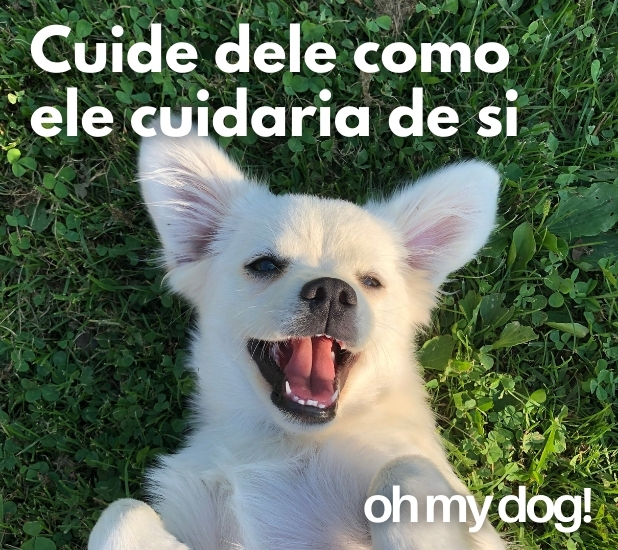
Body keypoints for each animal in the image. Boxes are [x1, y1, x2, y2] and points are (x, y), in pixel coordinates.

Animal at [88, 123, 505, 550]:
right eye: (264, 265)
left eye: (371, 281)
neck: (287, 442)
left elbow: (404, 471)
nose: (331, 292)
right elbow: (121, 512)